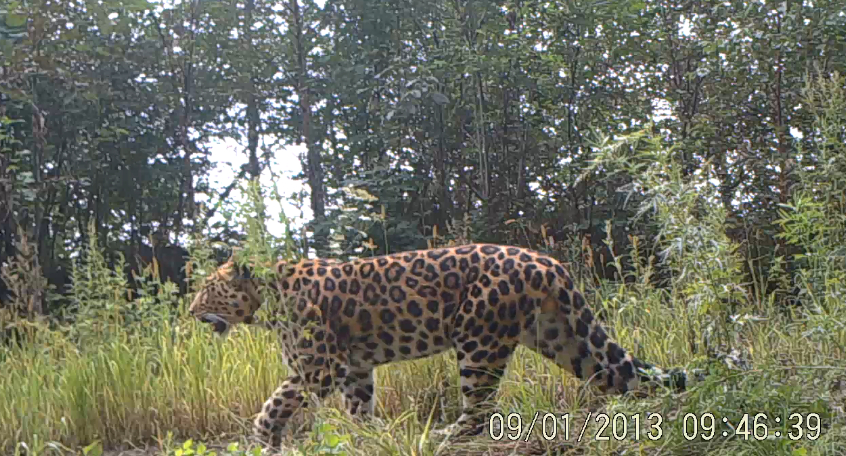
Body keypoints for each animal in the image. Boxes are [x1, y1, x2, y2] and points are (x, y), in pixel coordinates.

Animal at [189, 244, 700, 448]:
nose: (192, 311)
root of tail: (549, 263)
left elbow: (276, 400)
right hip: (561, 337)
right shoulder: (354, 370)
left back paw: (441, 435)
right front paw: (368, 438)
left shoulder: (321, 367)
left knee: (480, 411)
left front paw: (262, 436)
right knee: (617, 374)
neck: (267, 298)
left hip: (477, 339)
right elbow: (358, 408)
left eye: (208, 290)